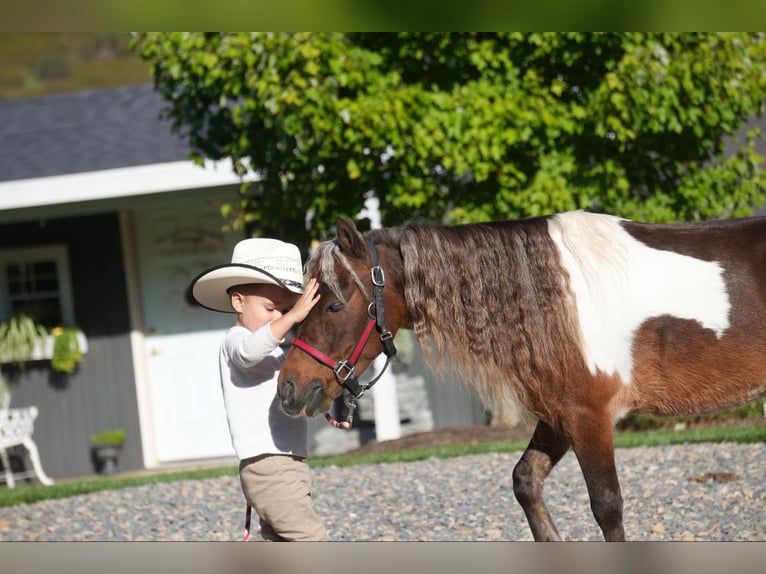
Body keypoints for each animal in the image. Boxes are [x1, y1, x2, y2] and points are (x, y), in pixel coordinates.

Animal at [280, 209, 766, 544]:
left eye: (334, 304)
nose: (288, 387)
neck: (554, 295)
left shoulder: (589, 417)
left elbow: (607, 506)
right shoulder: (560, 416)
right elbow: (525, 481)